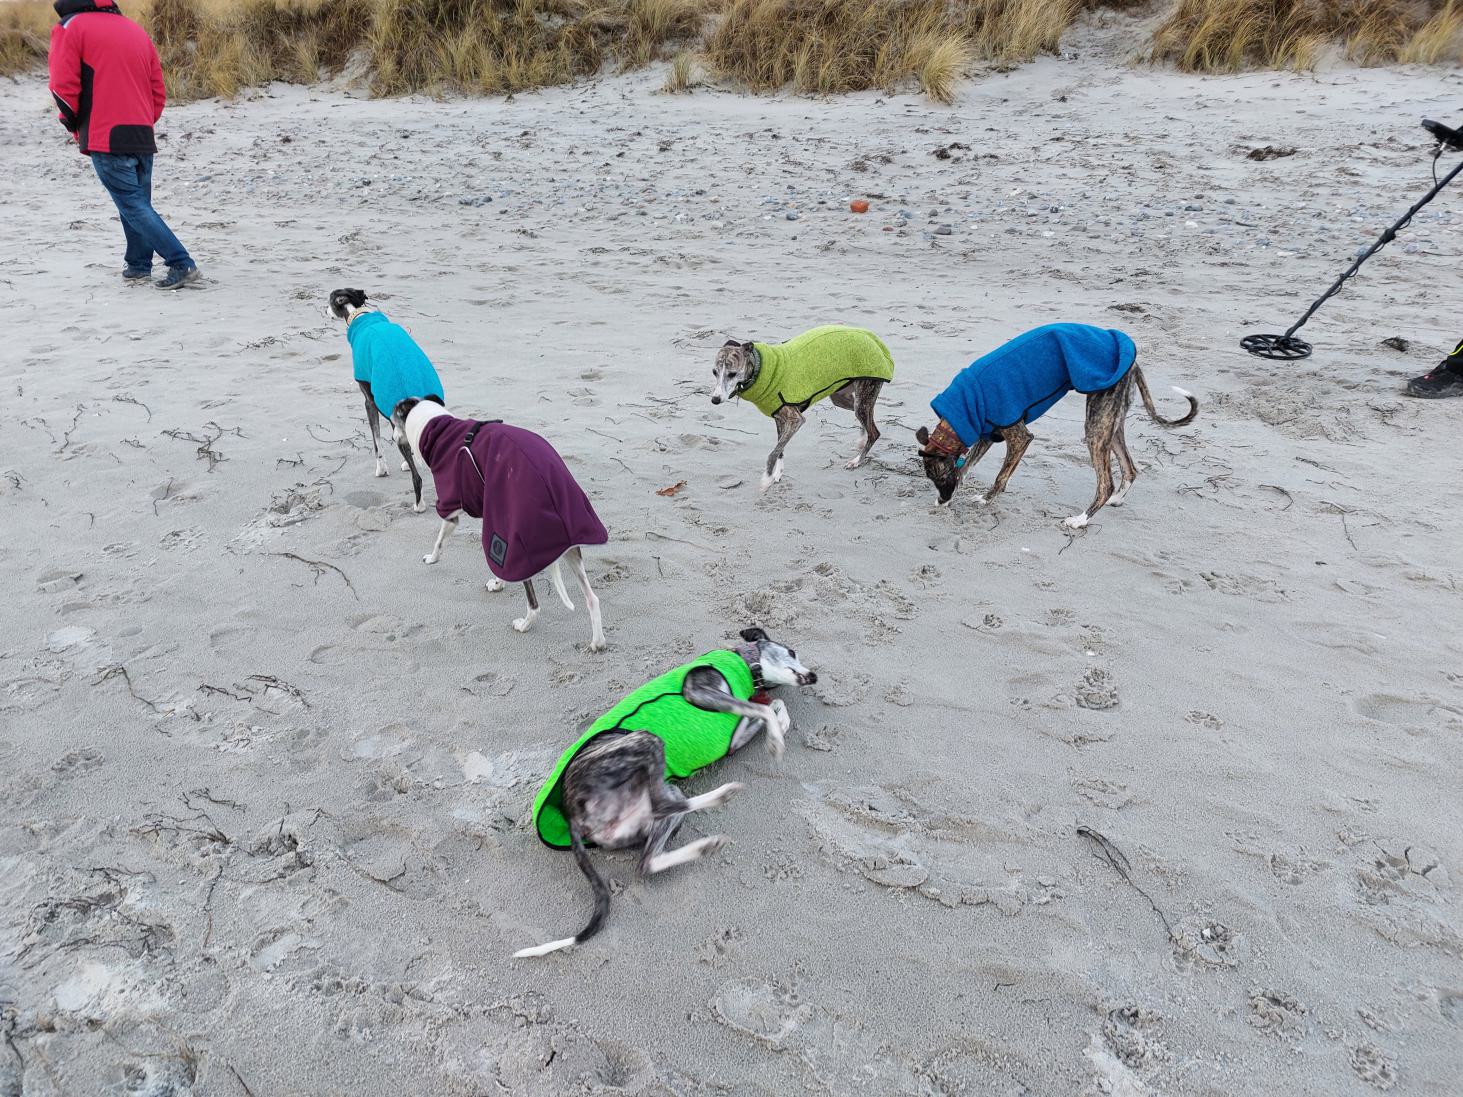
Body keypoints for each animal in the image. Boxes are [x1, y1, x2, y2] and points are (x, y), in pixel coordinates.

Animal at [327, 288, 445, 512]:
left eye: (329, 300)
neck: (360, 315)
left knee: (418, 478)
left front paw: (381, 469)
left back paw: (419, 504)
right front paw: (407, 462)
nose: (323, 309)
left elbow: (376, 441)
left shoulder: (370, 402)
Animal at [397, 398, 608, 651]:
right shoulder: (489, 513)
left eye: (394, 417)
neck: (436, 426)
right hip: (568, 544)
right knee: (592, 598)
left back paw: (525, 624)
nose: (394, 439)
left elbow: (439, 541)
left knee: (534, 604)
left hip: (516, 538)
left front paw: (432, 558)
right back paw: (597, 642)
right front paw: (498, 582)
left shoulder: (452, 508)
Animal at [513, 627, 816, 957]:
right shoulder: (699, 691)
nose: (814, 676)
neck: (745, 664)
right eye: (791, 651)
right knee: (660, 806)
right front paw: (776, 740)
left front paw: (780, 726)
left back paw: (705, 844)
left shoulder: (734, 737)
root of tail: (572, 815)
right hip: (645, 742)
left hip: (654, 808)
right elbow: (764, 707)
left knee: (647, 861)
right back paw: (721, 796)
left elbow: (771, 707)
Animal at [711, 325, 895, 490]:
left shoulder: (795, 419)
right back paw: (861, 440)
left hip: (864, 393)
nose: (715, 399)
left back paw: (857, 460)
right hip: (842, 397)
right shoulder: (780, 418)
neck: (759, 368)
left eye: (732, 374)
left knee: (874, 431)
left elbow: (773, 453)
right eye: (714, 372)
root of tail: (874, 340)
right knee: (865, 419)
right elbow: (780, 449)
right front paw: (777, 474)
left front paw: (766, 478)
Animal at [916, 323, 1198, 528]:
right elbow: (967, 467)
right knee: (1130, 469)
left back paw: (1081, 519)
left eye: (940, 478)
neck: (964, 410)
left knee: (1106, 482)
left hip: (1096, 426)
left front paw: (986, 499)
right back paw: (1116, 500)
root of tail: (1134, 360)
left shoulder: (1018, 436)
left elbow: (1000, 476)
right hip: (1111, 423)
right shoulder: (987, 432)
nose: (942, 498)